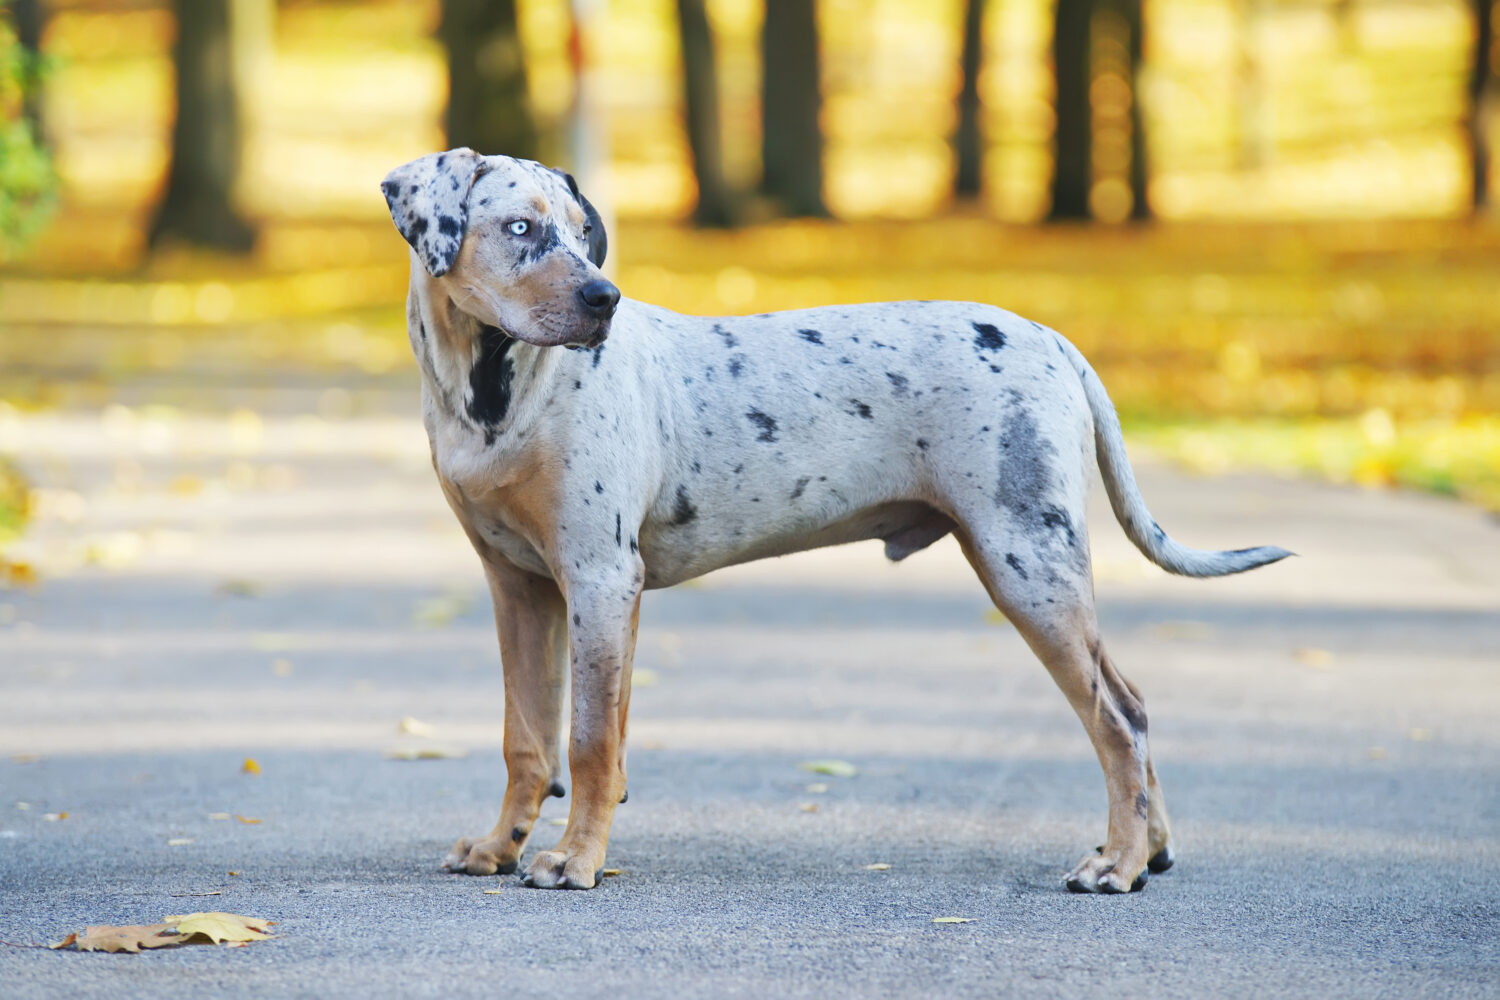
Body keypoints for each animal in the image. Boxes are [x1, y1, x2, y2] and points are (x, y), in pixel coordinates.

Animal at [378, 150, 1290, 899]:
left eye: (581, 232)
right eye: (520, 228)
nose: (605, 299)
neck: (497, 396)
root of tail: (1052, 340)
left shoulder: (602, 581)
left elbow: (592, 741)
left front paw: (575, 860)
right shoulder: (522, 589)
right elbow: (527, 739)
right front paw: (499, 847)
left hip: (1029, 566)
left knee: (1119, 718)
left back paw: (1119, 865)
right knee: (1132, 705)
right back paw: (1148, 851)